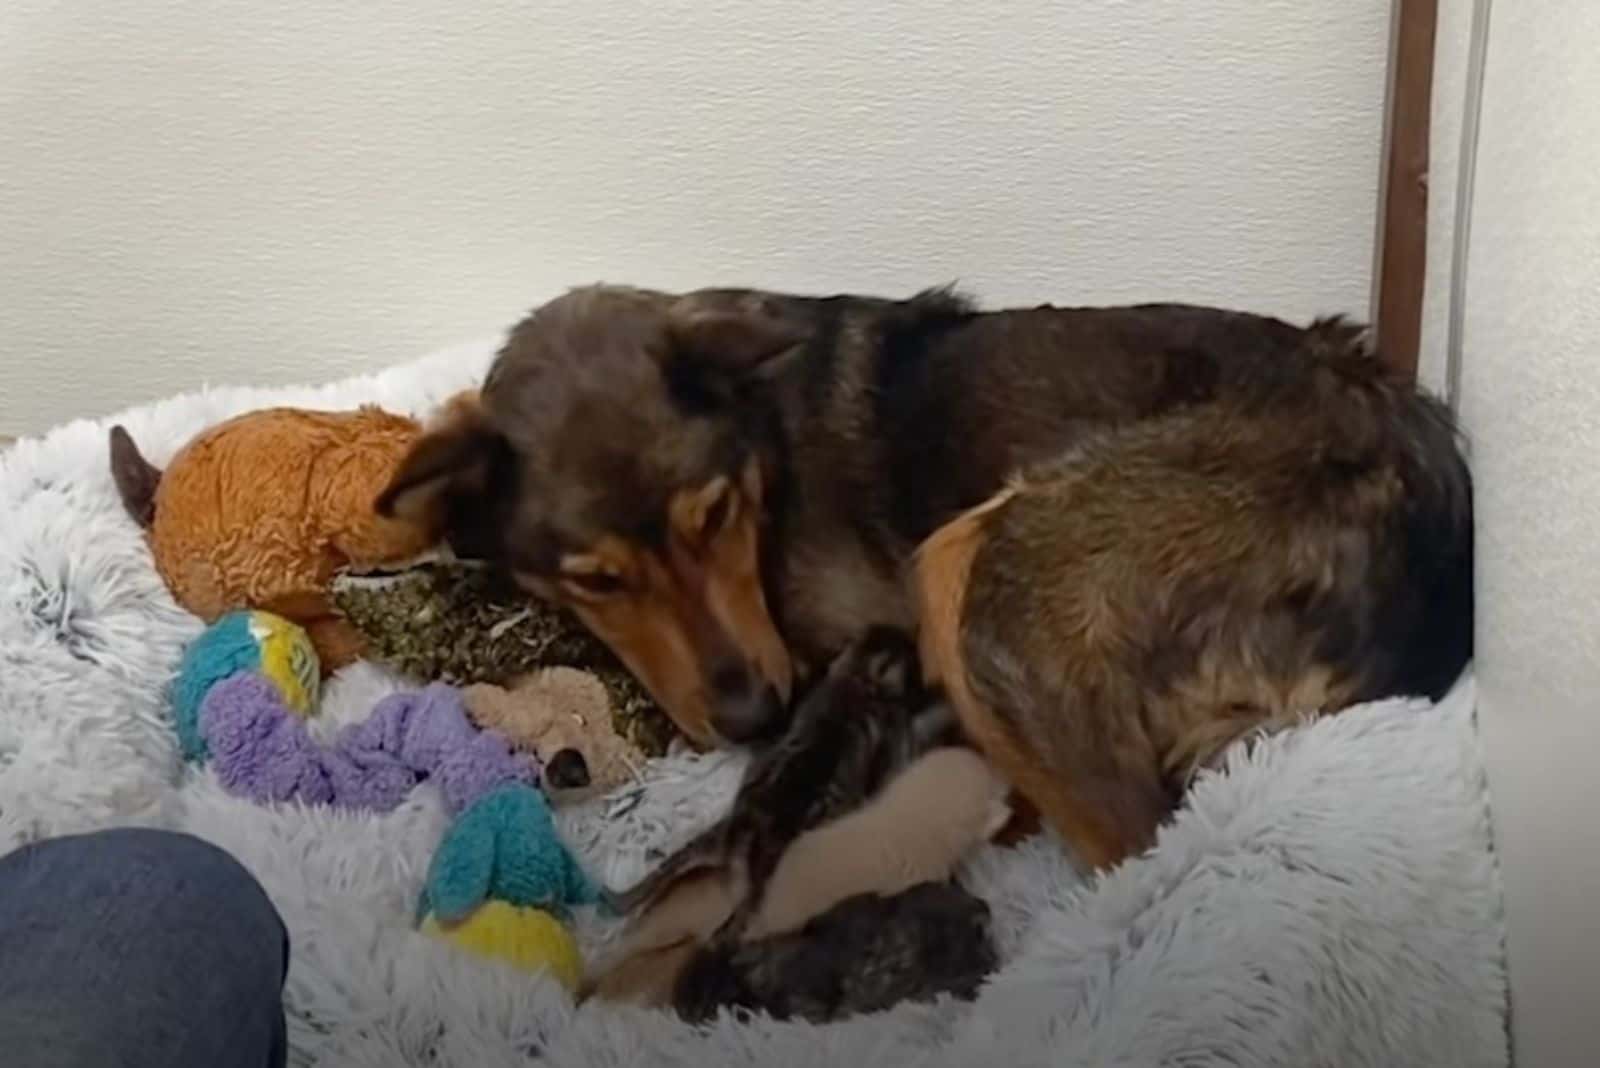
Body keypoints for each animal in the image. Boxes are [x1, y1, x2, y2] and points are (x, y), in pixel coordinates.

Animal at [374, 282, 1472, 869]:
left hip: (976, 568)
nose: (756, 716)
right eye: (599, 581)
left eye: (715, 514)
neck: (766, 445)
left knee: (1137, 845)